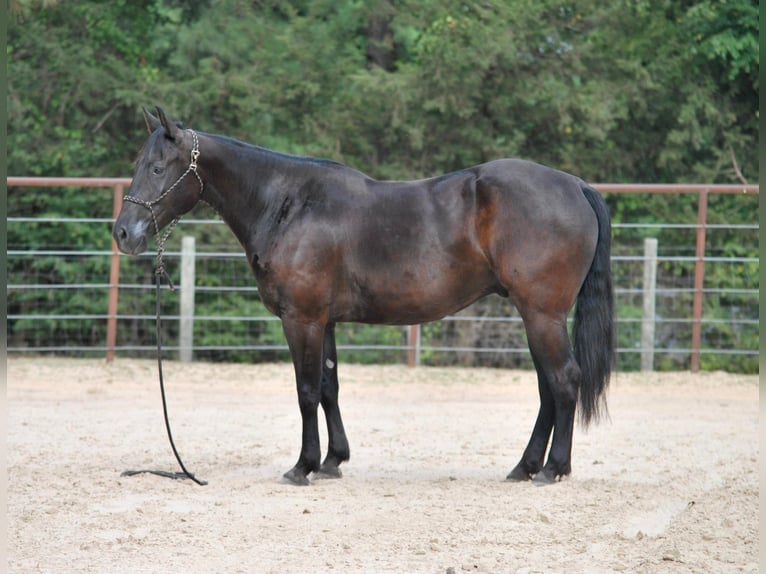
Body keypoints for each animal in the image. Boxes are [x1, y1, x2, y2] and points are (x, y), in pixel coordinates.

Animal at [115, 107, 616, 486]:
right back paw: (525, 466)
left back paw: (552, 469)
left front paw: (303, 466)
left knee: (563, 379)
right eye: (137, 165)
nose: (123, 233)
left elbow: (305, 390)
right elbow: (328, 387)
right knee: (548, 387)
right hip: (536, 316)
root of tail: (574, 185)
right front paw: (333, 461)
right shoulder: (325, 320)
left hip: (542, 314)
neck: (289, 204)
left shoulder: (302, 318)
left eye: (157, 168)